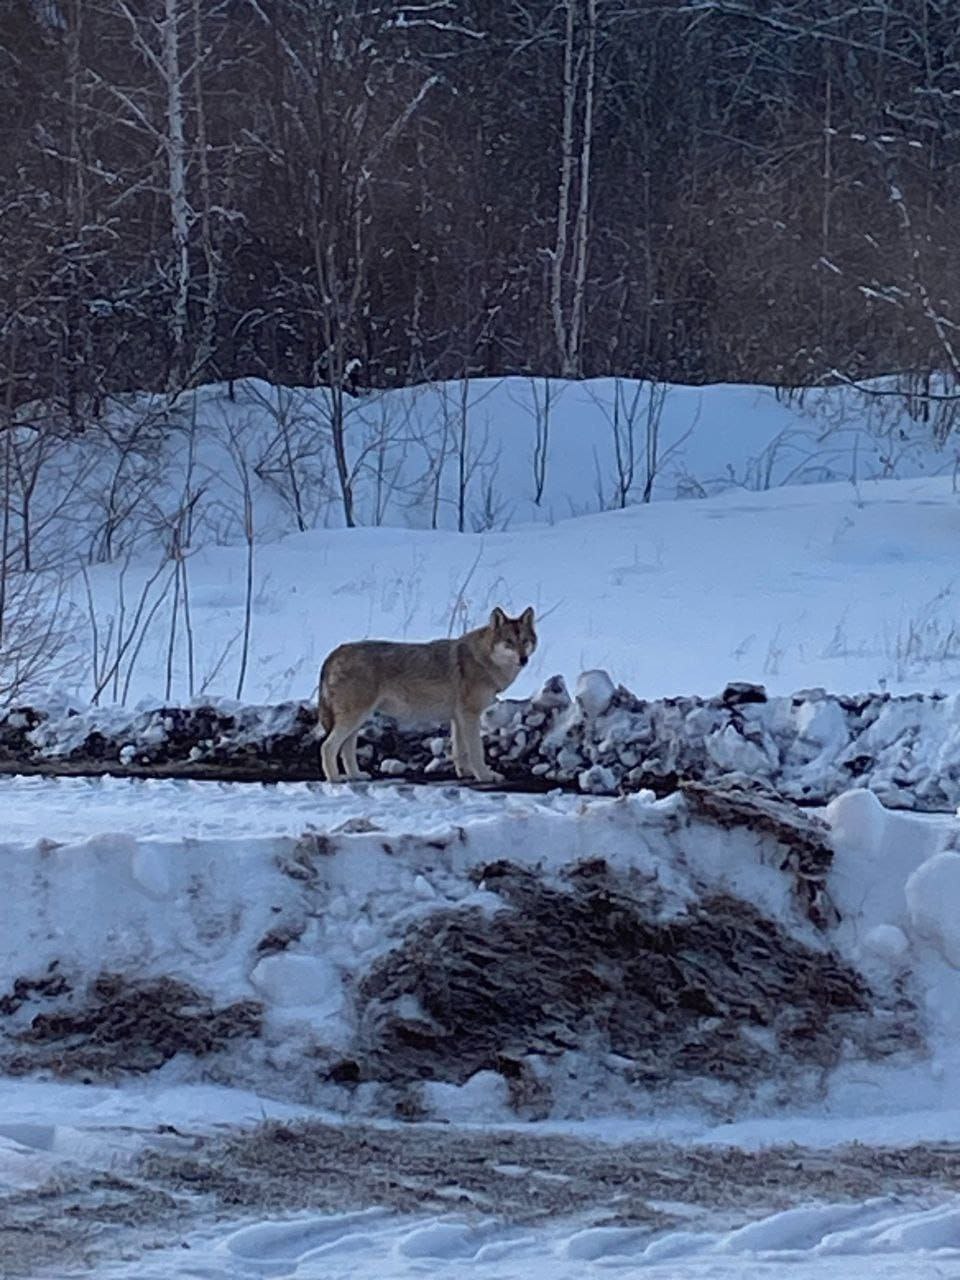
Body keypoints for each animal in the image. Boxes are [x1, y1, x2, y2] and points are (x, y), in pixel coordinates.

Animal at [320, 606, 537, 783]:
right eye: (509, 642)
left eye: (525, 641)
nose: (523, 659)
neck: (483, 660)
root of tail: (335, 652)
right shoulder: (469, 716)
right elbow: (476, 752)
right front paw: (485, 776)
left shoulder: (458, 718)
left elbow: (460, 752)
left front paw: (465, 773)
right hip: (354, 718)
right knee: (327, 747)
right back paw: (335, 780)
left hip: (358, 721)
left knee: (346, 750)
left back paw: (356, 776)